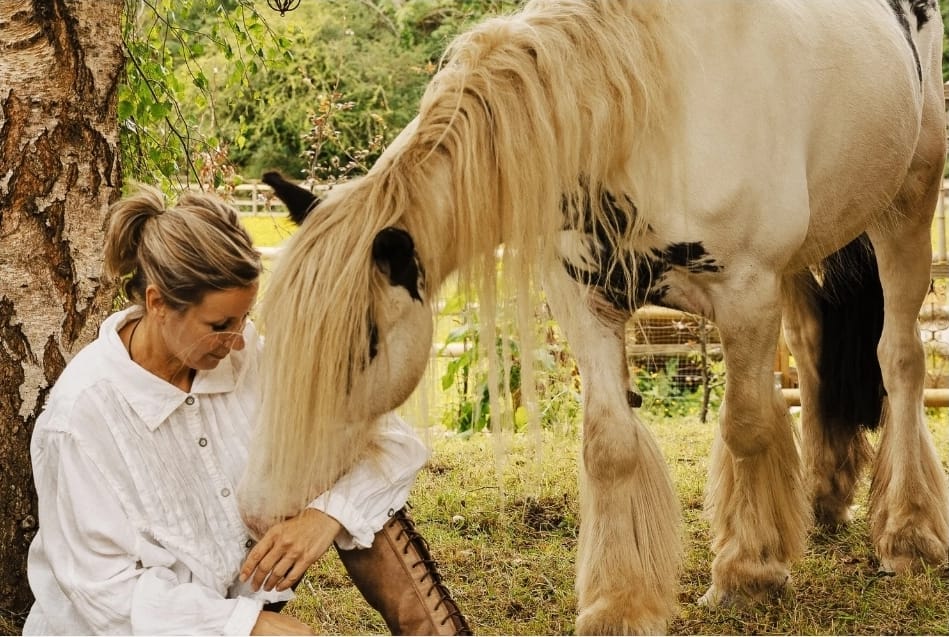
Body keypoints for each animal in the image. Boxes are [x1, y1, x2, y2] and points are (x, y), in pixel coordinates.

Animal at [239, 1, 949, 633]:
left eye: (364, 344)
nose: (263, 507)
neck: (646, 107)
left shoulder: (746, 289)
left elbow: (746, 426)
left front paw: (750, 572)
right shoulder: (585, 301)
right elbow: (610, 446)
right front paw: (621, 603)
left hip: (907, 209)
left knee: (900, 360)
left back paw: (907, 533)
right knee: (813, 349)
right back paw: (821, 495)